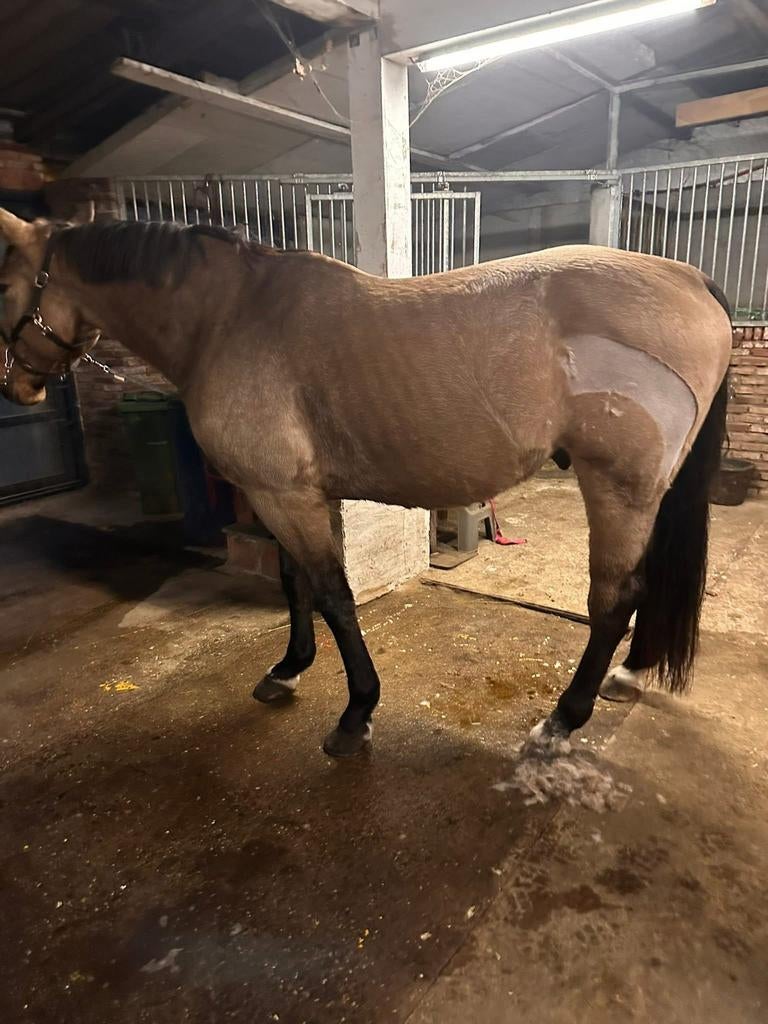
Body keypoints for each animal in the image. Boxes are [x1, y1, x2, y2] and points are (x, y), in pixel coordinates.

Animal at [0, 209, 731, 758]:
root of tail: (693, 276)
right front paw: (288, 668)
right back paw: (629, 674)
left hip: (618, 488)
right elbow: (295, 584)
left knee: (616, 598)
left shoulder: (284, 496)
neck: (227, 319)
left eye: (3, 288)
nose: (18, 390)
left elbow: (333, 594)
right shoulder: (286, 495)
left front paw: (356, 714)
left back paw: (562, 721)